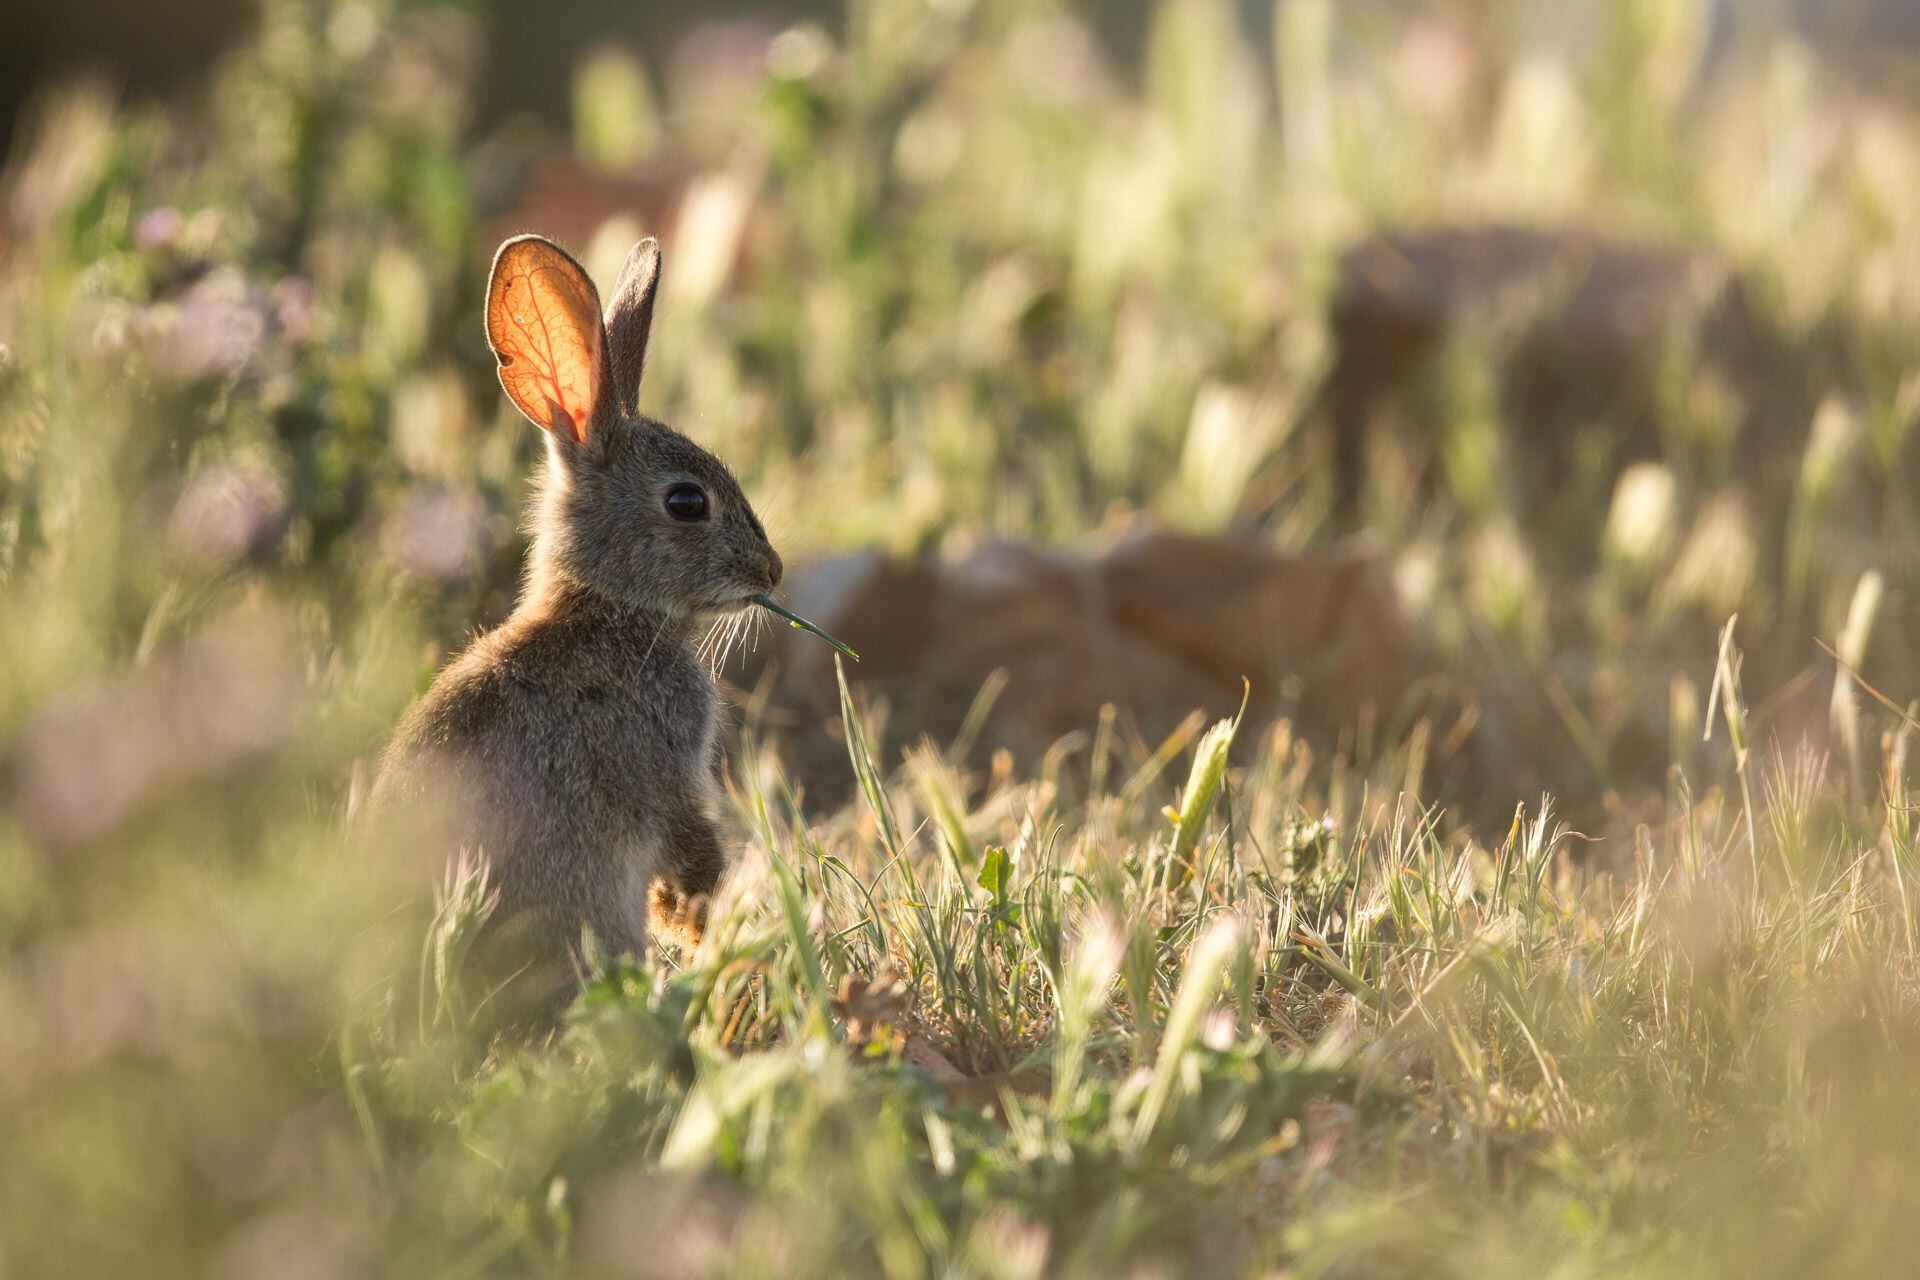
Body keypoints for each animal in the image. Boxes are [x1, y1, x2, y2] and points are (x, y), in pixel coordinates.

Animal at [374, 233, 779, 990]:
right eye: (687, 502)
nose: (772, 570)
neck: (610, 608)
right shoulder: (667, 771)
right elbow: (690, 845)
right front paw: (698, 924)